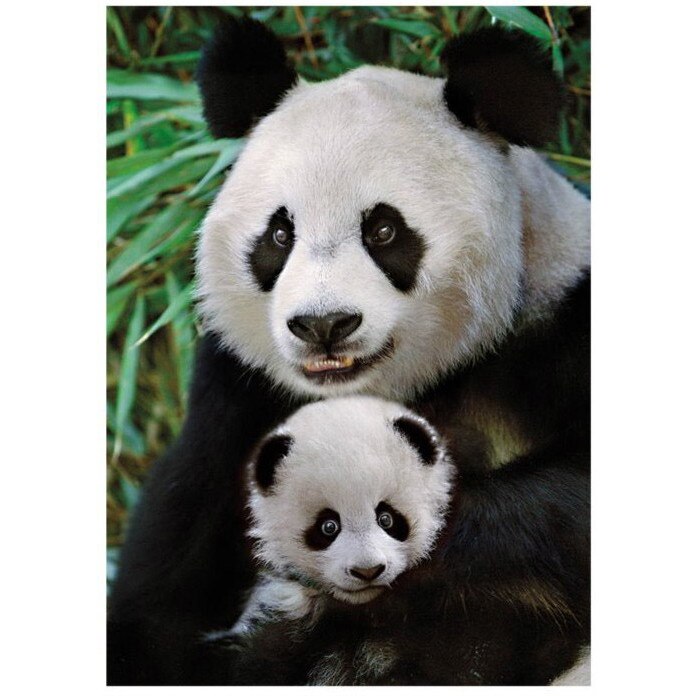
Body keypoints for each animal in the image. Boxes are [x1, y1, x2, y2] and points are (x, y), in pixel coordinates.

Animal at [107, 18, 590, 686]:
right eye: (279, 234)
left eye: (383, 230)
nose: (323, 324)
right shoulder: (238, 395)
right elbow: (161, 589)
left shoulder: (561, 327)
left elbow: (566, 502)